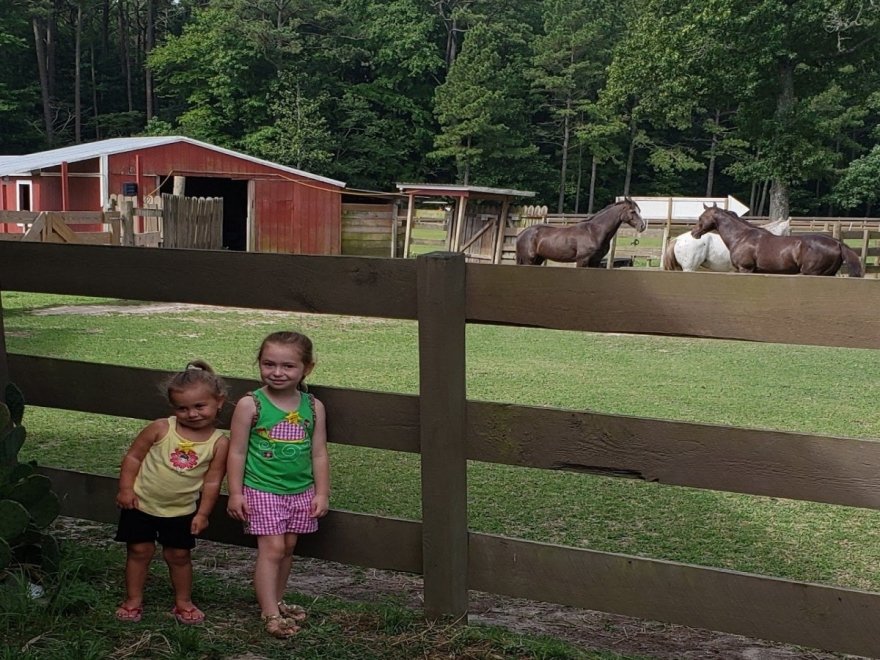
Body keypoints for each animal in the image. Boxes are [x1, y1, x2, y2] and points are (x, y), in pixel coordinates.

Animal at [516, 197, 648, 266]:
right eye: (632, 211)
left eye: (639, 210)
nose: (642, 226)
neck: (594, 232)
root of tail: (521, 234)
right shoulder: (582, 260)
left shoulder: (595, 261)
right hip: (529, 260)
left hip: (538, 260)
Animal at [692, 208, 864, 278]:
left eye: (701, 217)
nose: (694, 233)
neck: (741, 237)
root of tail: (837, 243)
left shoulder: (745, 269)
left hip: (812, 273)